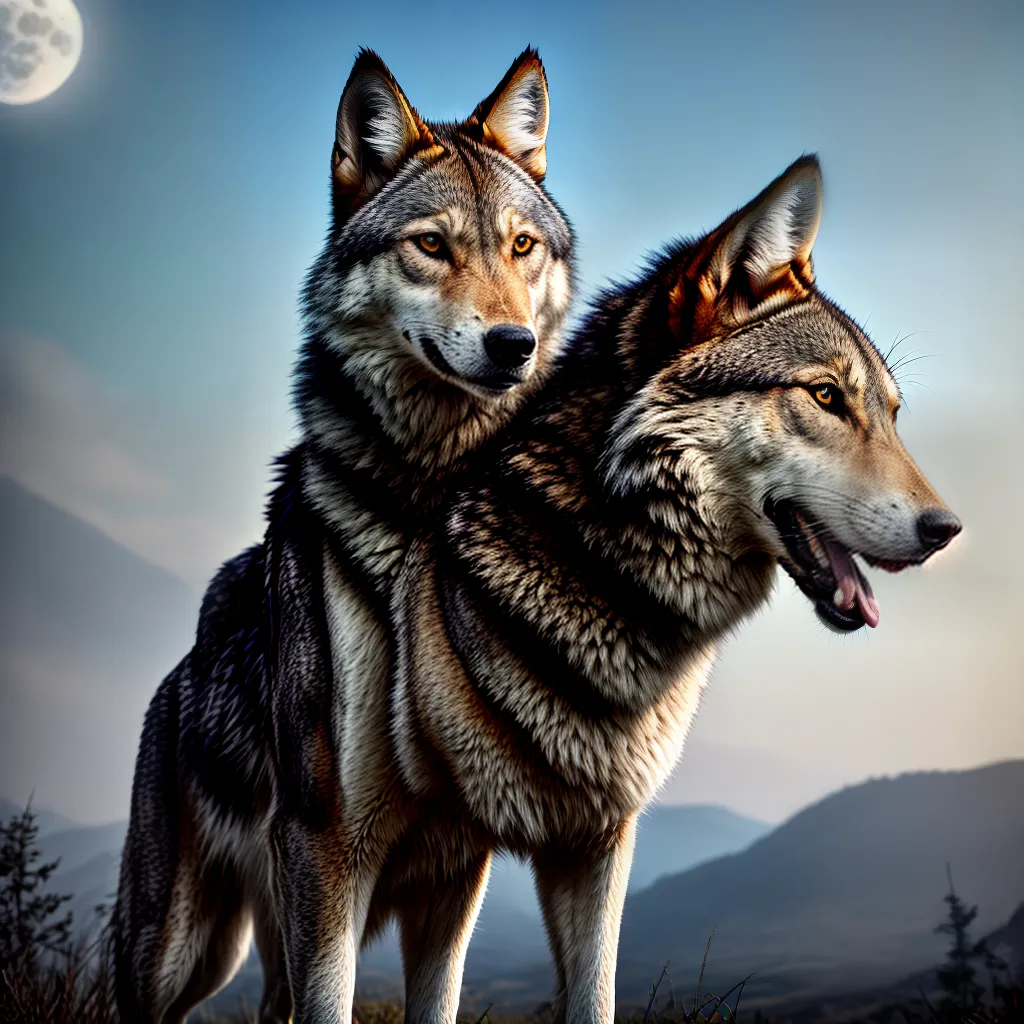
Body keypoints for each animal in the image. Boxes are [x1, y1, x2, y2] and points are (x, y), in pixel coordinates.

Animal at [112, 47, 574, 1024]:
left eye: (521, 246)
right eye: (431, 245)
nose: (513, 345)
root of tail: (178, 673)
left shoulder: (454, 875)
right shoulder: (329, 851)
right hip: (182, 951)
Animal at [383, 155, 962, 1024]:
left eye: (893, 414)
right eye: (826, 397)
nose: (947, 529)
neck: (599, 557)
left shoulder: (602, 835)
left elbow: (595, 989)